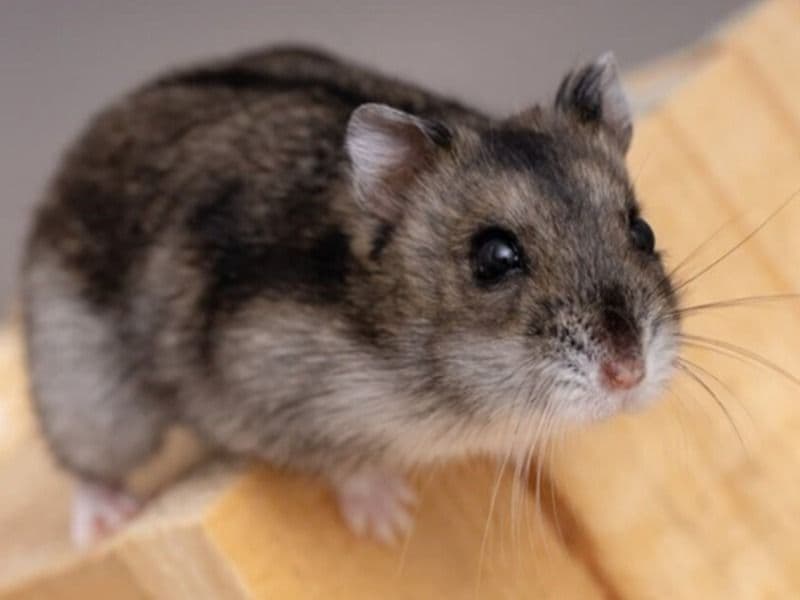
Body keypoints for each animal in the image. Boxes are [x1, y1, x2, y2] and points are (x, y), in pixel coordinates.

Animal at [21, 46, 680, 545]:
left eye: (642, 231)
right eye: (494, 258)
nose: (629, 373)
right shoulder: (270, 384)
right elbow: (344, 459)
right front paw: (390, 522)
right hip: (89, 392)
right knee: (88, 461)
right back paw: (105, 521)